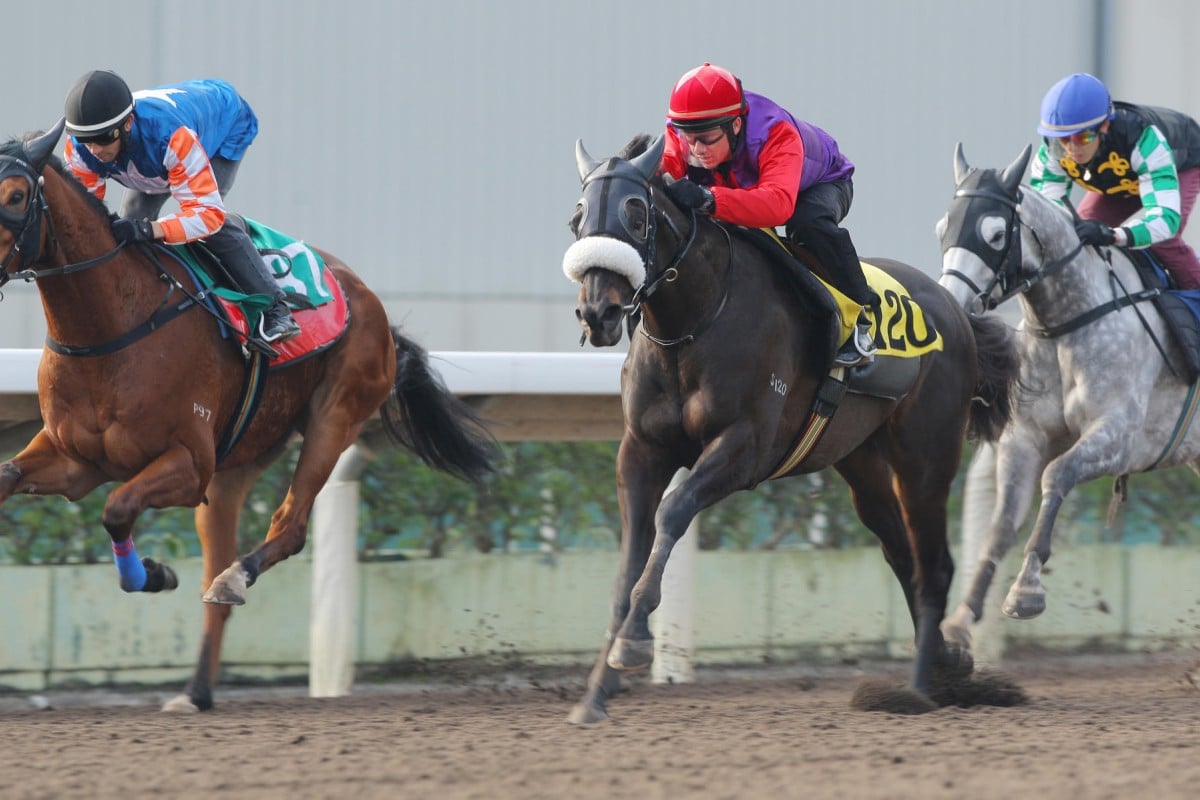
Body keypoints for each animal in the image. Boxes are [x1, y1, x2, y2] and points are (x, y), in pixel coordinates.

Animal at [0, 122, 496, 710]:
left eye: (16, 196)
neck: (113, 324)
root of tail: (373, 305)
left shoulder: (189, 464)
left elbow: (117, 508)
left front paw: (154, 574)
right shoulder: (77, 461)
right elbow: (11, 476)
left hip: (334, 415)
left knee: (289, 528)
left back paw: (235, 580)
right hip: (237, 464)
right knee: (219, 568)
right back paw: (196, 691)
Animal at [566, 134, 1017, 724]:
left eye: (635, 212)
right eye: (577, 218)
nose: (598, 312)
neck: (693, 323)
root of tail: (958, 313)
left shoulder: (745, 446)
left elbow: (673, 512)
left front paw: (635, 640)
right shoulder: (640, 451)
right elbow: (629, 560)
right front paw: (595, 693)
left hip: (926, 457)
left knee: (933, 567)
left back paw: (919, 688)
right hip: (862, 464)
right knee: (903, 557)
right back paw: (943, 663)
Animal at [936, 143, 1200, 652]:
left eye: (995, 234)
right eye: (943, 227)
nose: (952, 306)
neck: (1067, 323)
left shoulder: (1117, 436)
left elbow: (1057, 475)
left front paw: (1026, 592)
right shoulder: (1025, 438)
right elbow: (1002, 521)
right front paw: (960, 619)